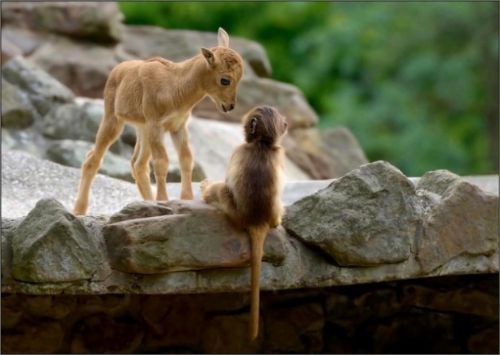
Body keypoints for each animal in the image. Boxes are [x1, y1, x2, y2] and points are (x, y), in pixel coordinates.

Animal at [200, 105, 288, 340]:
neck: (262, 144)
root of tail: (257, 221)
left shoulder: (238, 149)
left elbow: (227, 181)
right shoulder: (279, 154)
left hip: (233, 212)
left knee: (222, 189)